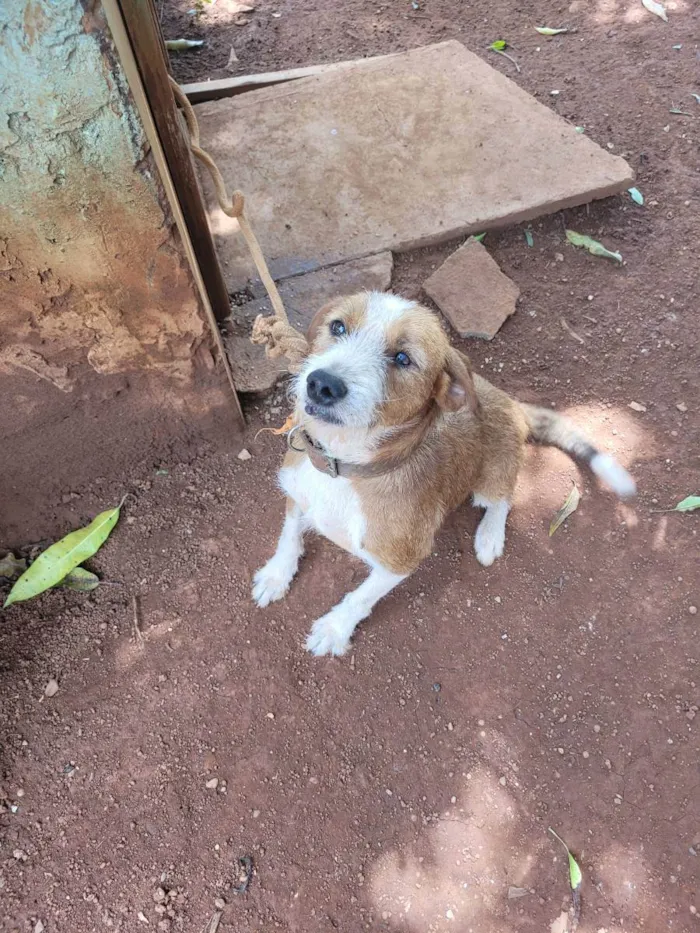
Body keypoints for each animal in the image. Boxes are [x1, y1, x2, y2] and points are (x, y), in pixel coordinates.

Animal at [252, 292, 636, 656]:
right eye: (338, 327)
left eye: (403, 358)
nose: (322, 384)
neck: (344, 468)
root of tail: (511, 403)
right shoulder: (296, 493)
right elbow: (288, 535)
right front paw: (276, 575)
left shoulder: (401, 560)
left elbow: (361, 597)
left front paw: (335, 629)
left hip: (491, 477)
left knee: (503, 497)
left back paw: (489, 536)